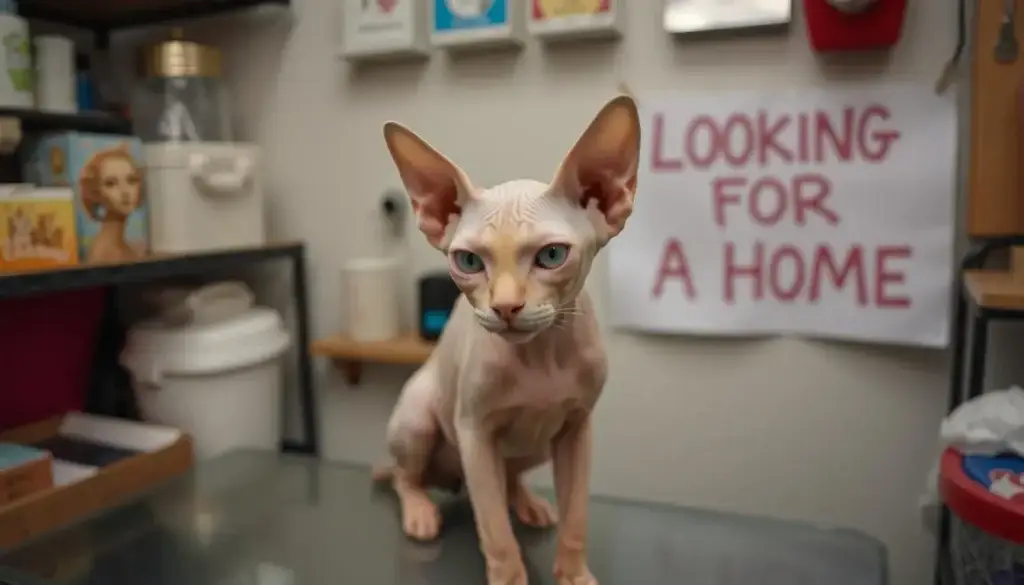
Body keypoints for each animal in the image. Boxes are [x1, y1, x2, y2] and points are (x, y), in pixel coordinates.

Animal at [368, 94, 638, 585]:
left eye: (552, 255)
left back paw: (528, 503)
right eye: (469, 261)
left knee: (509, 476)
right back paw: (419, 510)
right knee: (404, 475)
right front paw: (509, 576)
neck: (541, 356)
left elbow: (576, 517)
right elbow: (495, 531)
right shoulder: (474, 433)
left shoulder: (578, 429)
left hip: (537, 444)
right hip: (420, 419)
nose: (505, 308)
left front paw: (574, 574)